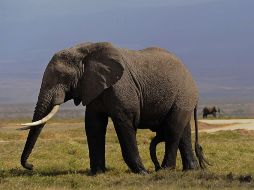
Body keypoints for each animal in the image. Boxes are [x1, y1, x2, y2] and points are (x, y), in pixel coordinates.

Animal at [19, 42, 206, 174]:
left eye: (62, 77)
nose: (31, 165)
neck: (85, 52)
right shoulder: (93, 87)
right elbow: (93, 125)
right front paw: (97, 173)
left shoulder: (121, 87)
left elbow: (124, 123)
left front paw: (142, 173)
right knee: (183, 131)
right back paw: (190, 170)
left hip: (184, 94)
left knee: (173, 130)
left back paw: (165, 170)